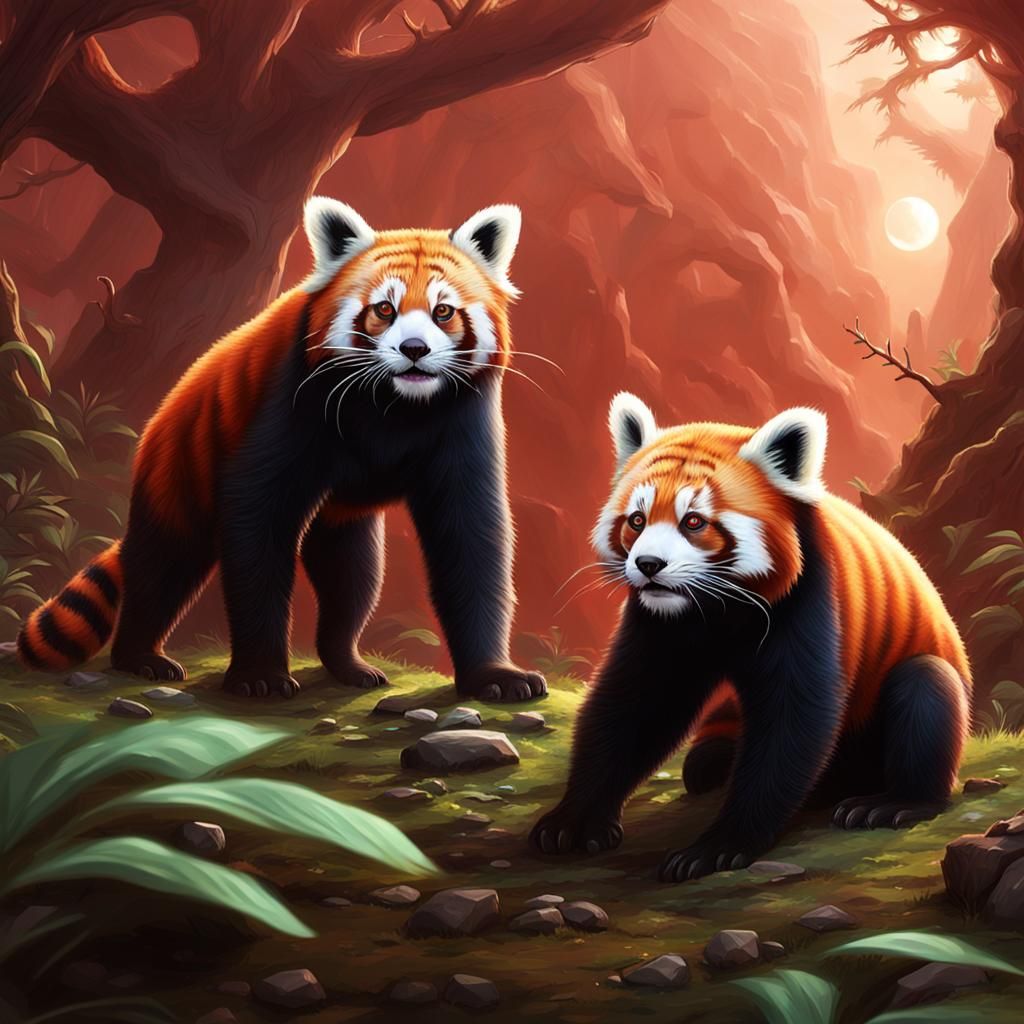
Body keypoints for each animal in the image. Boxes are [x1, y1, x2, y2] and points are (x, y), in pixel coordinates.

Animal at [18, 198, 547, 703]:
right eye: (384, 310)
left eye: (443, 312)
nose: (414, 349)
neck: (394, 405)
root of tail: (164, 409)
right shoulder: (294, 395)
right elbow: (257, 522)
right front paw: (260, 677)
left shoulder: (463, 417)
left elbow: (471, 538)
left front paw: (494, 675)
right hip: (180, 458)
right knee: (164, 560)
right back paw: (139, 655)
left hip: (344, 511)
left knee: (352, 575)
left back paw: (346, 661)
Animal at [531, 393, 970, 880]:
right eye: (637, 520)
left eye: (694, 522)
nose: (648, 565)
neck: (715, 608)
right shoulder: (658, 621)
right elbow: (635, 703)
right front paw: (574, 819)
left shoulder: (809, 594)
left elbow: (793, 719)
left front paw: (717, 846)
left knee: (925, 686)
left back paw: (895, 802)